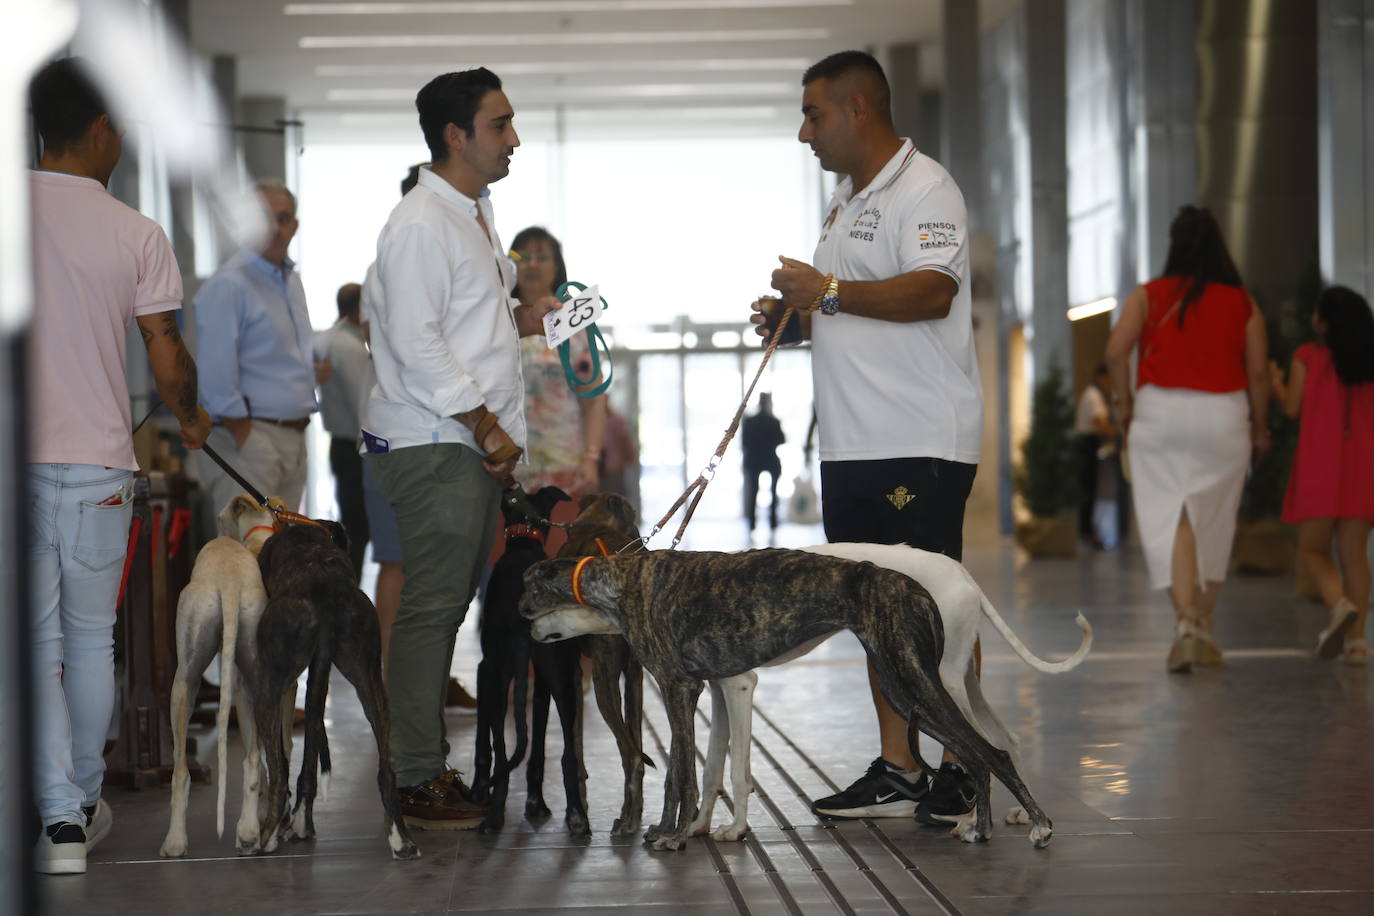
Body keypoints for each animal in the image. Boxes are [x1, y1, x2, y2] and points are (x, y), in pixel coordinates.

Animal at [251, 521, 412, 862]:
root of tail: (324, 595)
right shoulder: (320, 673)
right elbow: (312, 753)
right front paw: (304, 821)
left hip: (268, 685)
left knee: (278, 775)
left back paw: (263, 840)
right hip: (368, 676)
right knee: (386, 770)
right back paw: (400, 840)